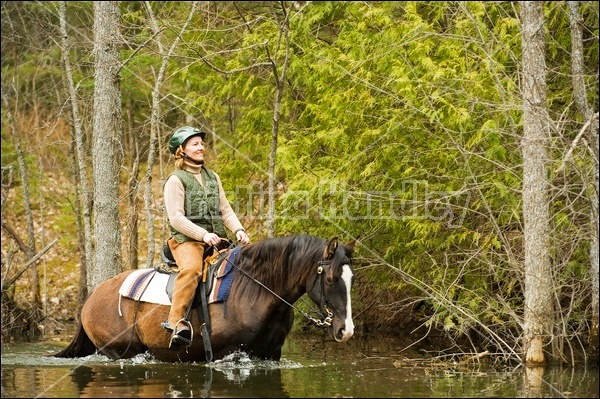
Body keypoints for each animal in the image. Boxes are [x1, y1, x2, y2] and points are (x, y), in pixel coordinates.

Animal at [52, 236, 356, 364]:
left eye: (352, 279)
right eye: (331, 279)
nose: (347, 330)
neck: (256, 290)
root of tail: (90, 299)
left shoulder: (272, 354)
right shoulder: (227, 354)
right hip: (118, 351)